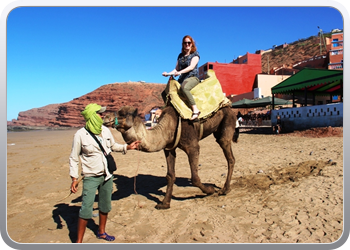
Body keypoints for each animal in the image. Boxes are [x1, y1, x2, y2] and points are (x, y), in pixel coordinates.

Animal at [103, 105, 238, 209]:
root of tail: (230, 108)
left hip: (227, 123)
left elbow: (194, 178)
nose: (105, 117)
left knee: (229, 156)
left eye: (123, 114)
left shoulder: (193, 146)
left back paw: (224, 190)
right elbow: (170, 175)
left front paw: (210, 190)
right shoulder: (169, 149)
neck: (168, 127)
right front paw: (164, 204)